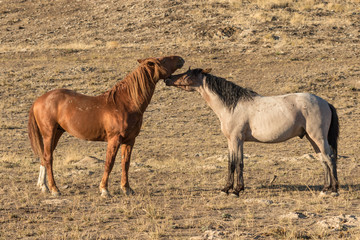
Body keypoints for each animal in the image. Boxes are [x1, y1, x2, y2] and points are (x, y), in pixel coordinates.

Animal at [27, 56, 184, 197]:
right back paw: (54, 189)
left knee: (44, 157)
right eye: (163, 60)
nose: (181, 59)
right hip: (49, 134)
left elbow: (125, 164)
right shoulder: (114, 139)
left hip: (57, 133)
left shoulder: (130, 140)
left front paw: (127, 189)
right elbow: (109, 163)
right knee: (48, 158)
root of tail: (38, 101)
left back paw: (44, 187)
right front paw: (104, 190)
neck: (125, 103)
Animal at [165, 67, 338, 197]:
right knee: (323, 160)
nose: (168, 79)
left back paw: (334, 189)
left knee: (329, 158)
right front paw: (227, 189)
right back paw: (325, 188)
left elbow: (238, 163)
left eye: (188, 74)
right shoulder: (231, 141)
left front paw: (236, 190)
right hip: (312, 139)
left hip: (318, 137)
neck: (232, 106)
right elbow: (231, 163)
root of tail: (325, 102)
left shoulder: (237, 139)